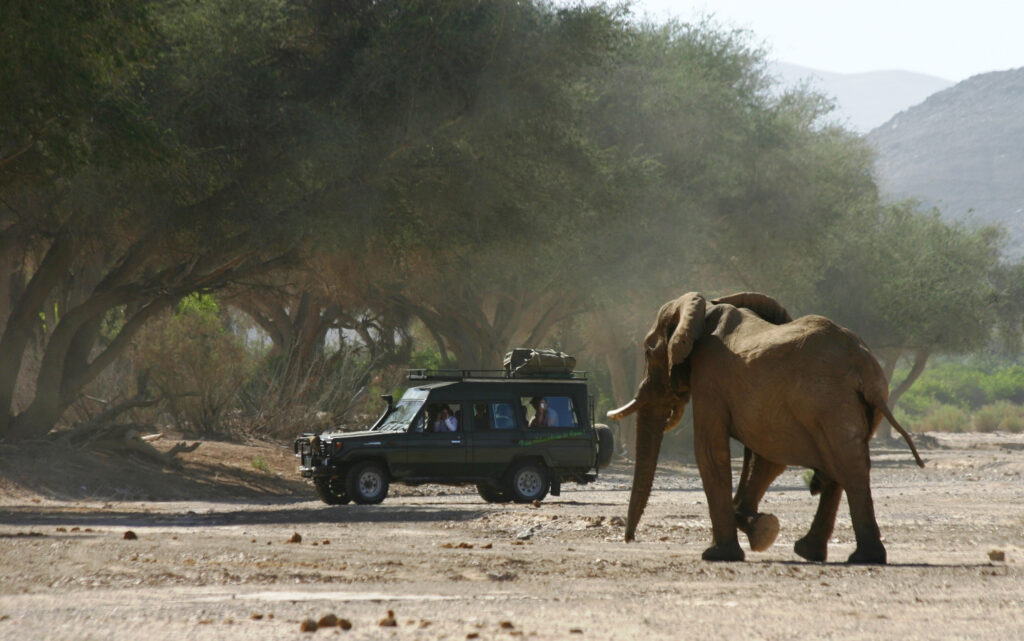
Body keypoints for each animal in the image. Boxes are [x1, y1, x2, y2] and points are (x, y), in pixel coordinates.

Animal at [606, 292, 929, 561]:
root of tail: (864, 365)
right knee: (843, 464)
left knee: (845, 464)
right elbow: (765, 458)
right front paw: (760, 530)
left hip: (826, 401)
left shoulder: (709, 377)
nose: (629, 539)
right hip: (851, 406)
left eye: (648, 353)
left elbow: (712, 451)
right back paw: (816, 552)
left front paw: (720, 554)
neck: (704, 308)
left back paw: (859, 557)